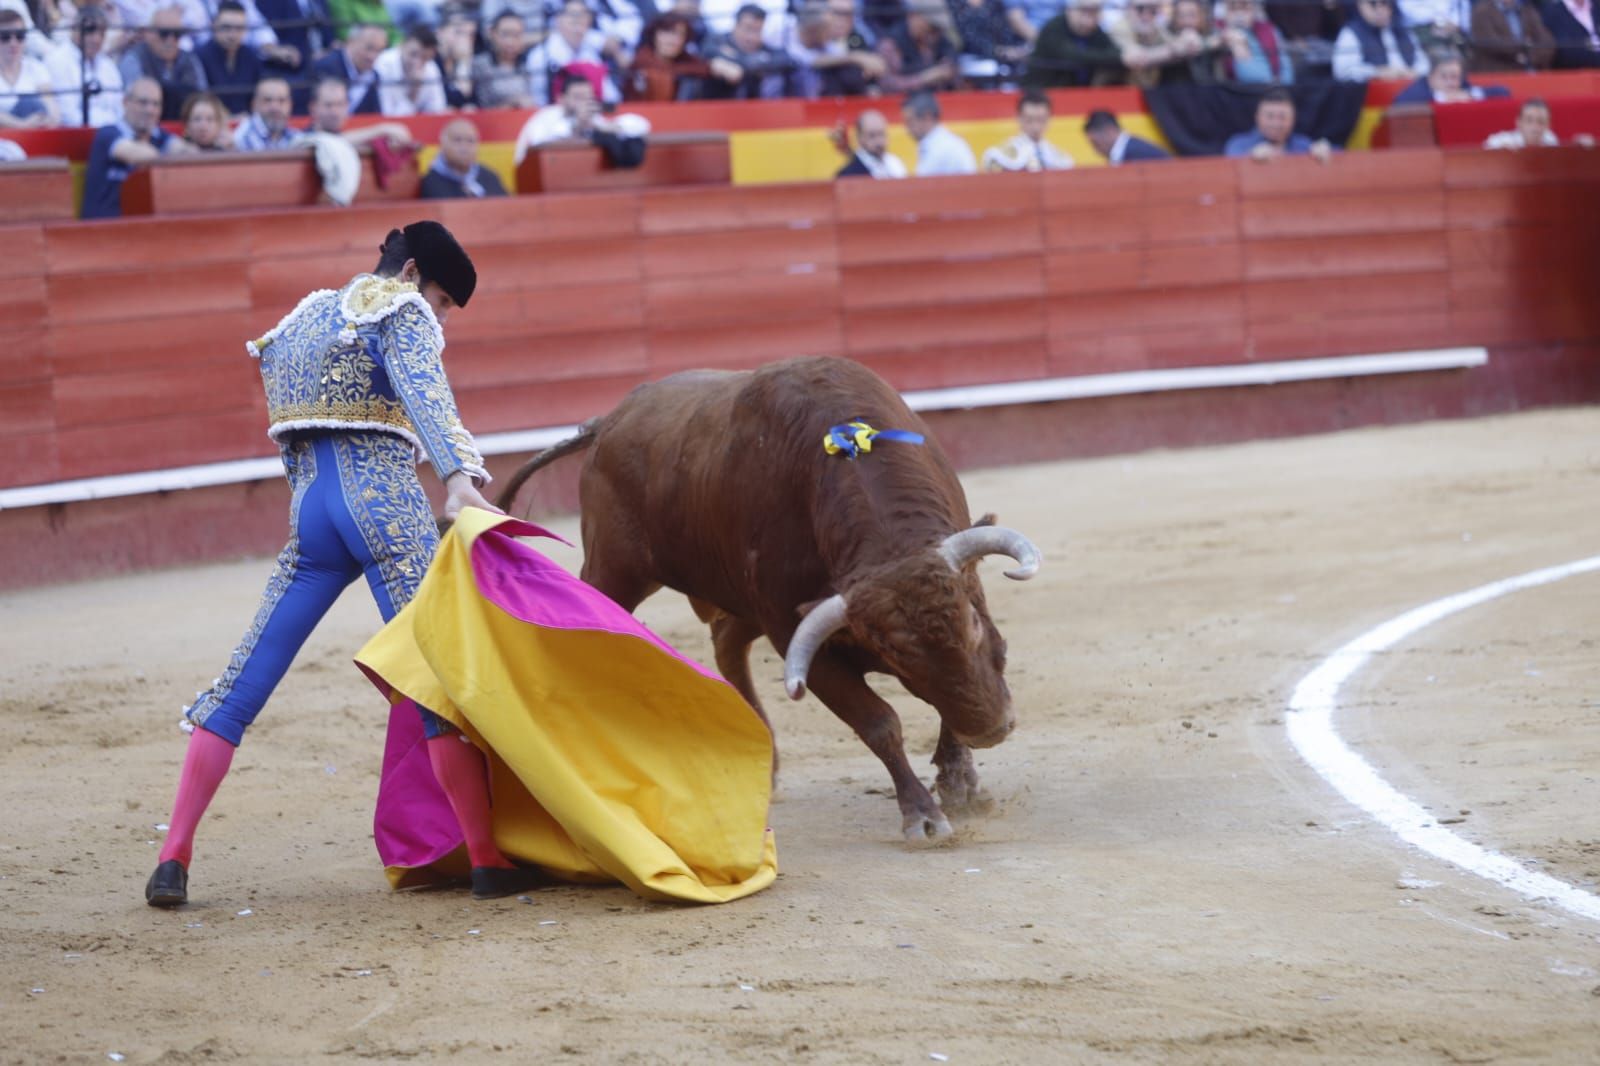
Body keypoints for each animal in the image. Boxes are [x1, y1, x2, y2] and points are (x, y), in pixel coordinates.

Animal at [505, 356, 1043, 838]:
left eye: (972, 621)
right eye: (894, 653)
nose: (990, 729)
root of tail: (609, 421)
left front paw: (962, 785)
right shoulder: (796, 637)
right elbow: (879, 722)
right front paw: (923, 816)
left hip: (734, 595)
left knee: (726, 643)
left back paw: (767, 762)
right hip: (613, 571)